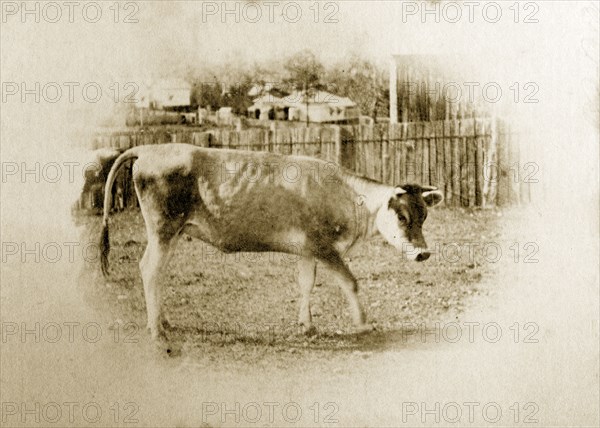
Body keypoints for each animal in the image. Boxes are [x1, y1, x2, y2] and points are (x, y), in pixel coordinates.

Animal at [101, 144, 442, 342]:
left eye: (424, 215)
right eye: (402, 216)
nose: (423, 253)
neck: (345, 195)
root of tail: (150, 147)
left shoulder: (307, 249)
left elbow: (306, 284)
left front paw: (307, 325)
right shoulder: (324, 247)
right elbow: (350, 282)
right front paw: (363, 323)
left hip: (172, 232)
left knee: (158, 273)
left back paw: (164, 320)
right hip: (163, 227)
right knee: (149, 269)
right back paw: (156, 329)